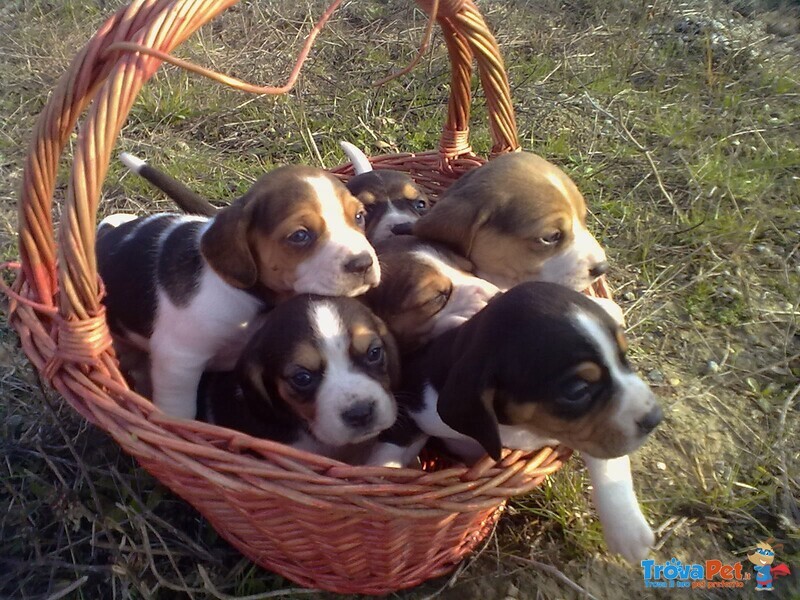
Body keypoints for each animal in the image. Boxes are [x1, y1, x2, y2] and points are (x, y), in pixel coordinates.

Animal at [97, 162, 382, 420]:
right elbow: (180, 411)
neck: (253, 300)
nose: (363, 263)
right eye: (300, 236)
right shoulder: (178, 359)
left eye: (359, 217)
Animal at [368, 282, 664, 564]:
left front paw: (627, 530)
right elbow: (389, 453)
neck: (517, 428)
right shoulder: (415, 407)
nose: (655, 418)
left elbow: (609, 462)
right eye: (577, 390)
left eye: (624, 357)